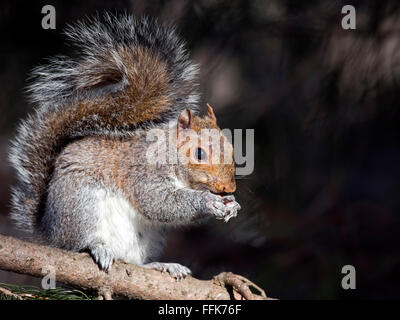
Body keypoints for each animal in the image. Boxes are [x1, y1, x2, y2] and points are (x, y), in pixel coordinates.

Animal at [8, 13, 241, 278]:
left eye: (232, 149)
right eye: (199, 153)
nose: (227, 187)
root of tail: (49, 234)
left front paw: (232, 204)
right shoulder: (144, 171)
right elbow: (159, 202)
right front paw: (208, 201)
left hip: (147, 238)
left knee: (134, 262)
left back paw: (161, 265)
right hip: (80, 207)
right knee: (77, 244)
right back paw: (97, 247)